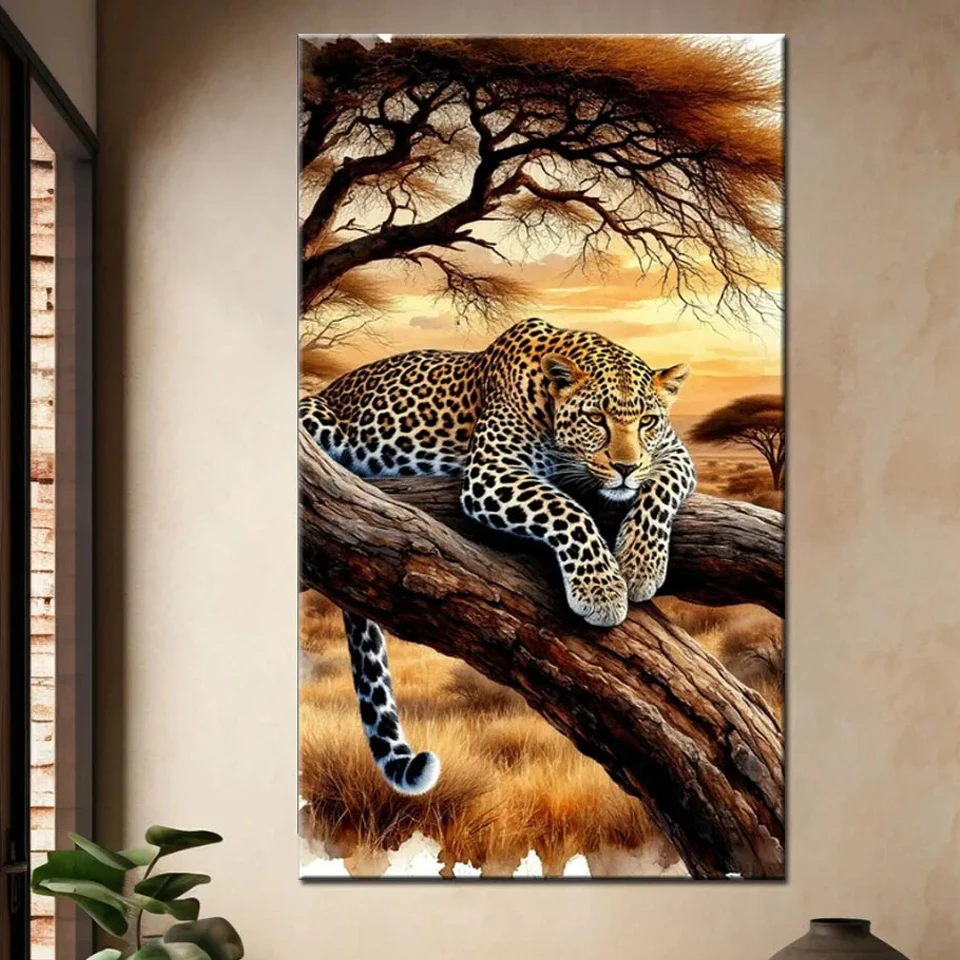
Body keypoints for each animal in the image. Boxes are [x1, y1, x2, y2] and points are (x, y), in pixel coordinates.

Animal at [299, 317, 696, 795]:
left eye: (648, 422)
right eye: (595, 419)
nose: (625, 467)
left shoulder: (674, 451)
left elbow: (661, 487)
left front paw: (639, 564)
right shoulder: (492, 470)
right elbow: (566, 509)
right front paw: (600, 591)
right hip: (314, 415)